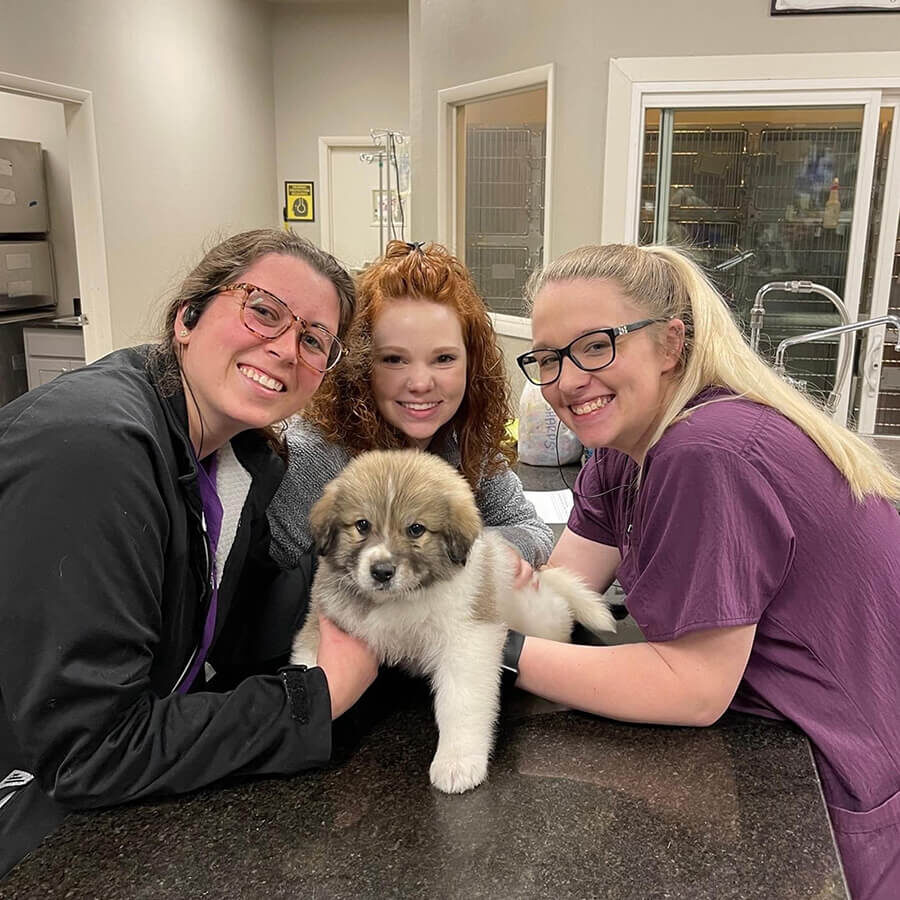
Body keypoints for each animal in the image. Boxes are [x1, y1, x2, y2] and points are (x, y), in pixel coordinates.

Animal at [292, 454, 616, 792]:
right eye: (362, 525)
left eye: (416, 529)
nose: (381, 571)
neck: (400, 599)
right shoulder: (323, 619)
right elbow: (314, 663)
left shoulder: (468, 639)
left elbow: (460, 704)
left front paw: (457, 762)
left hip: (539, 616)